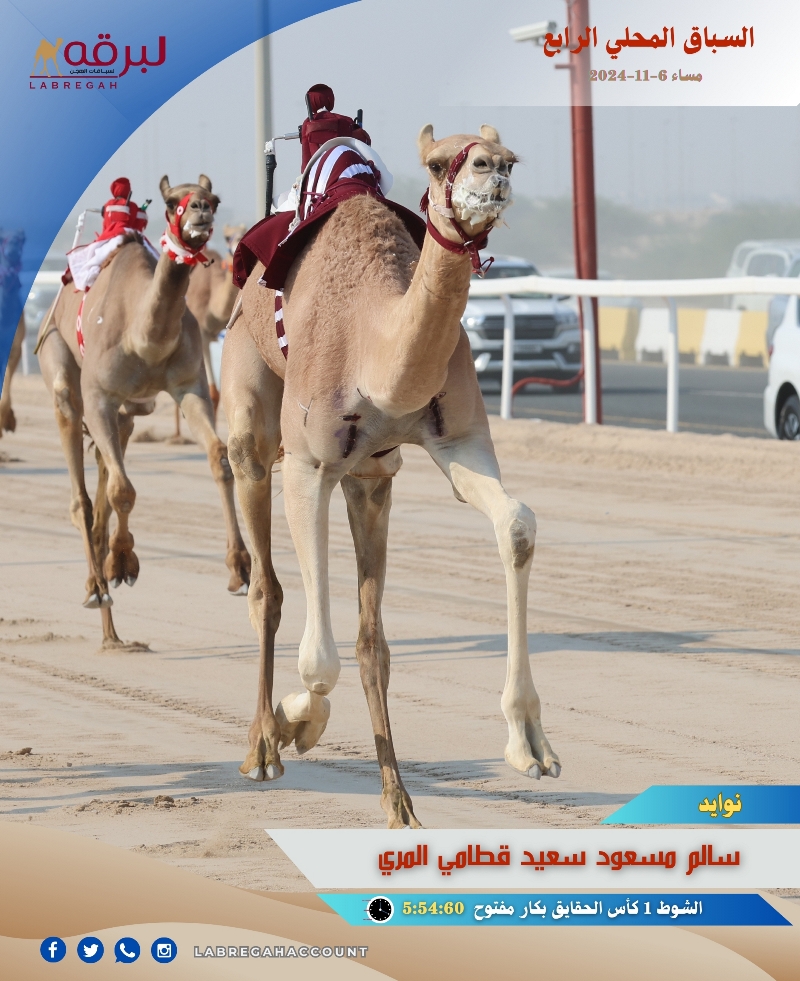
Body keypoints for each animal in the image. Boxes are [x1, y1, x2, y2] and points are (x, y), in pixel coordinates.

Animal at [37, 174, 248, 652]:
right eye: (172, 202)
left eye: (214, 199)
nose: (200, 211)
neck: (143, 336)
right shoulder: (98, 393)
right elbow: (123, 491)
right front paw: (122, 563)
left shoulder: (186, 387)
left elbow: (219, 459)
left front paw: (240, 568)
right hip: (60, 364)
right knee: (83, 493)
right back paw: (98, 590)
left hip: (127, 414)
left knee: (104, 481)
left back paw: (108, 617)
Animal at [222, 122, 560, 828]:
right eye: (437, 163)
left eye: (511, 159)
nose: (493, 171)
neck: (373, 347)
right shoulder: (309, 465)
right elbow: (316, 659)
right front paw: (297, 723)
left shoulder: (457, 442)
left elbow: (516, 524)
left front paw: (529, 743)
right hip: (251, 406)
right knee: (266, 583)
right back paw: (263, 749)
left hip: (371, 480)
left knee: (370, 636)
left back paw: (397, 798)